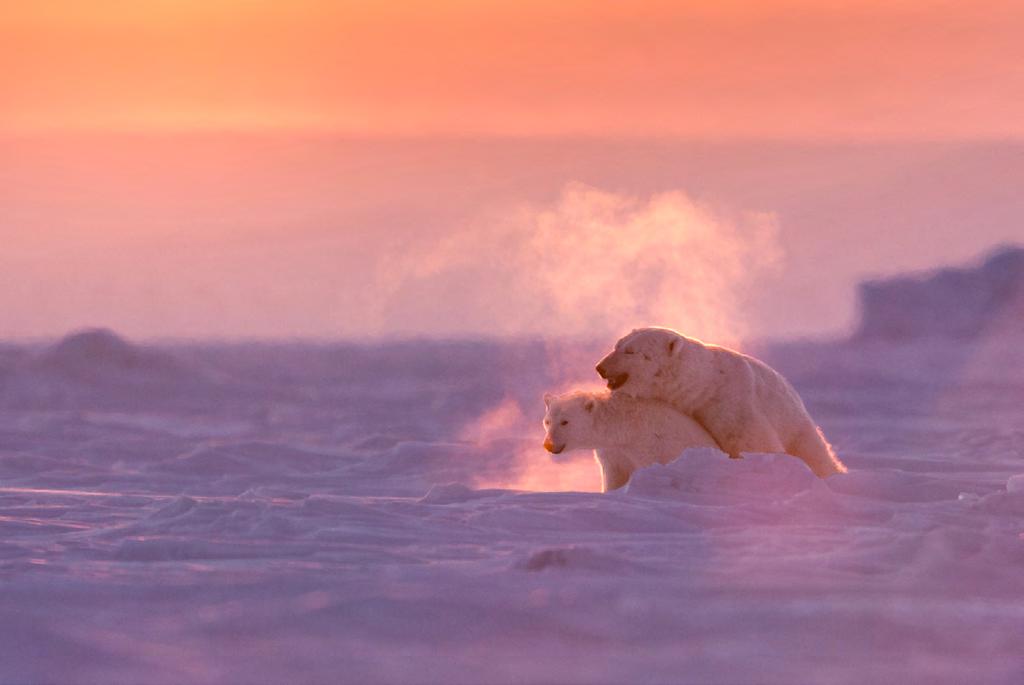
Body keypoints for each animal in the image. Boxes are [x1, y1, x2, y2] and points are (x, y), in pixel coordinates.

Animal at [544, 387, 720, 489]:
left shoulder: (652, 443)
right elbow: (614, 476)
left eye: (565, 421)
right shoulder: (612, 452)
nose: (548, 444)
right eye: (547, 421)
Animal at [598, 325, 843, 475]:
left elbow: (754, 443)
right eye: (617, 345)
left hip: (797, 429)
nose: (600, 367)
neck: (702, 385)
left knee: (816, 455)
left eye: (631, 351)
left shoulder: (732, 405)